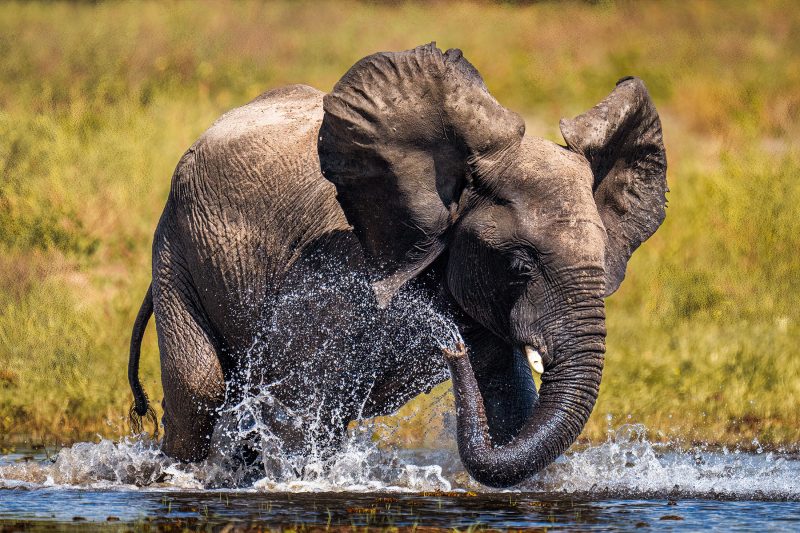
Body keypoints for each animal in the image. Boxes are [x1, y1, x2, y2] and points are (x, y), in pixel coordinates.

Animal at [128, 43, 667, 488]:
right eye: (519, 265)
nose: (450, 346)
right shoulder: (333, 266)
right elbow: (297, 405)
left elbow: (511, 403)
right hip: (177, 242)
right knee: (201, 389)